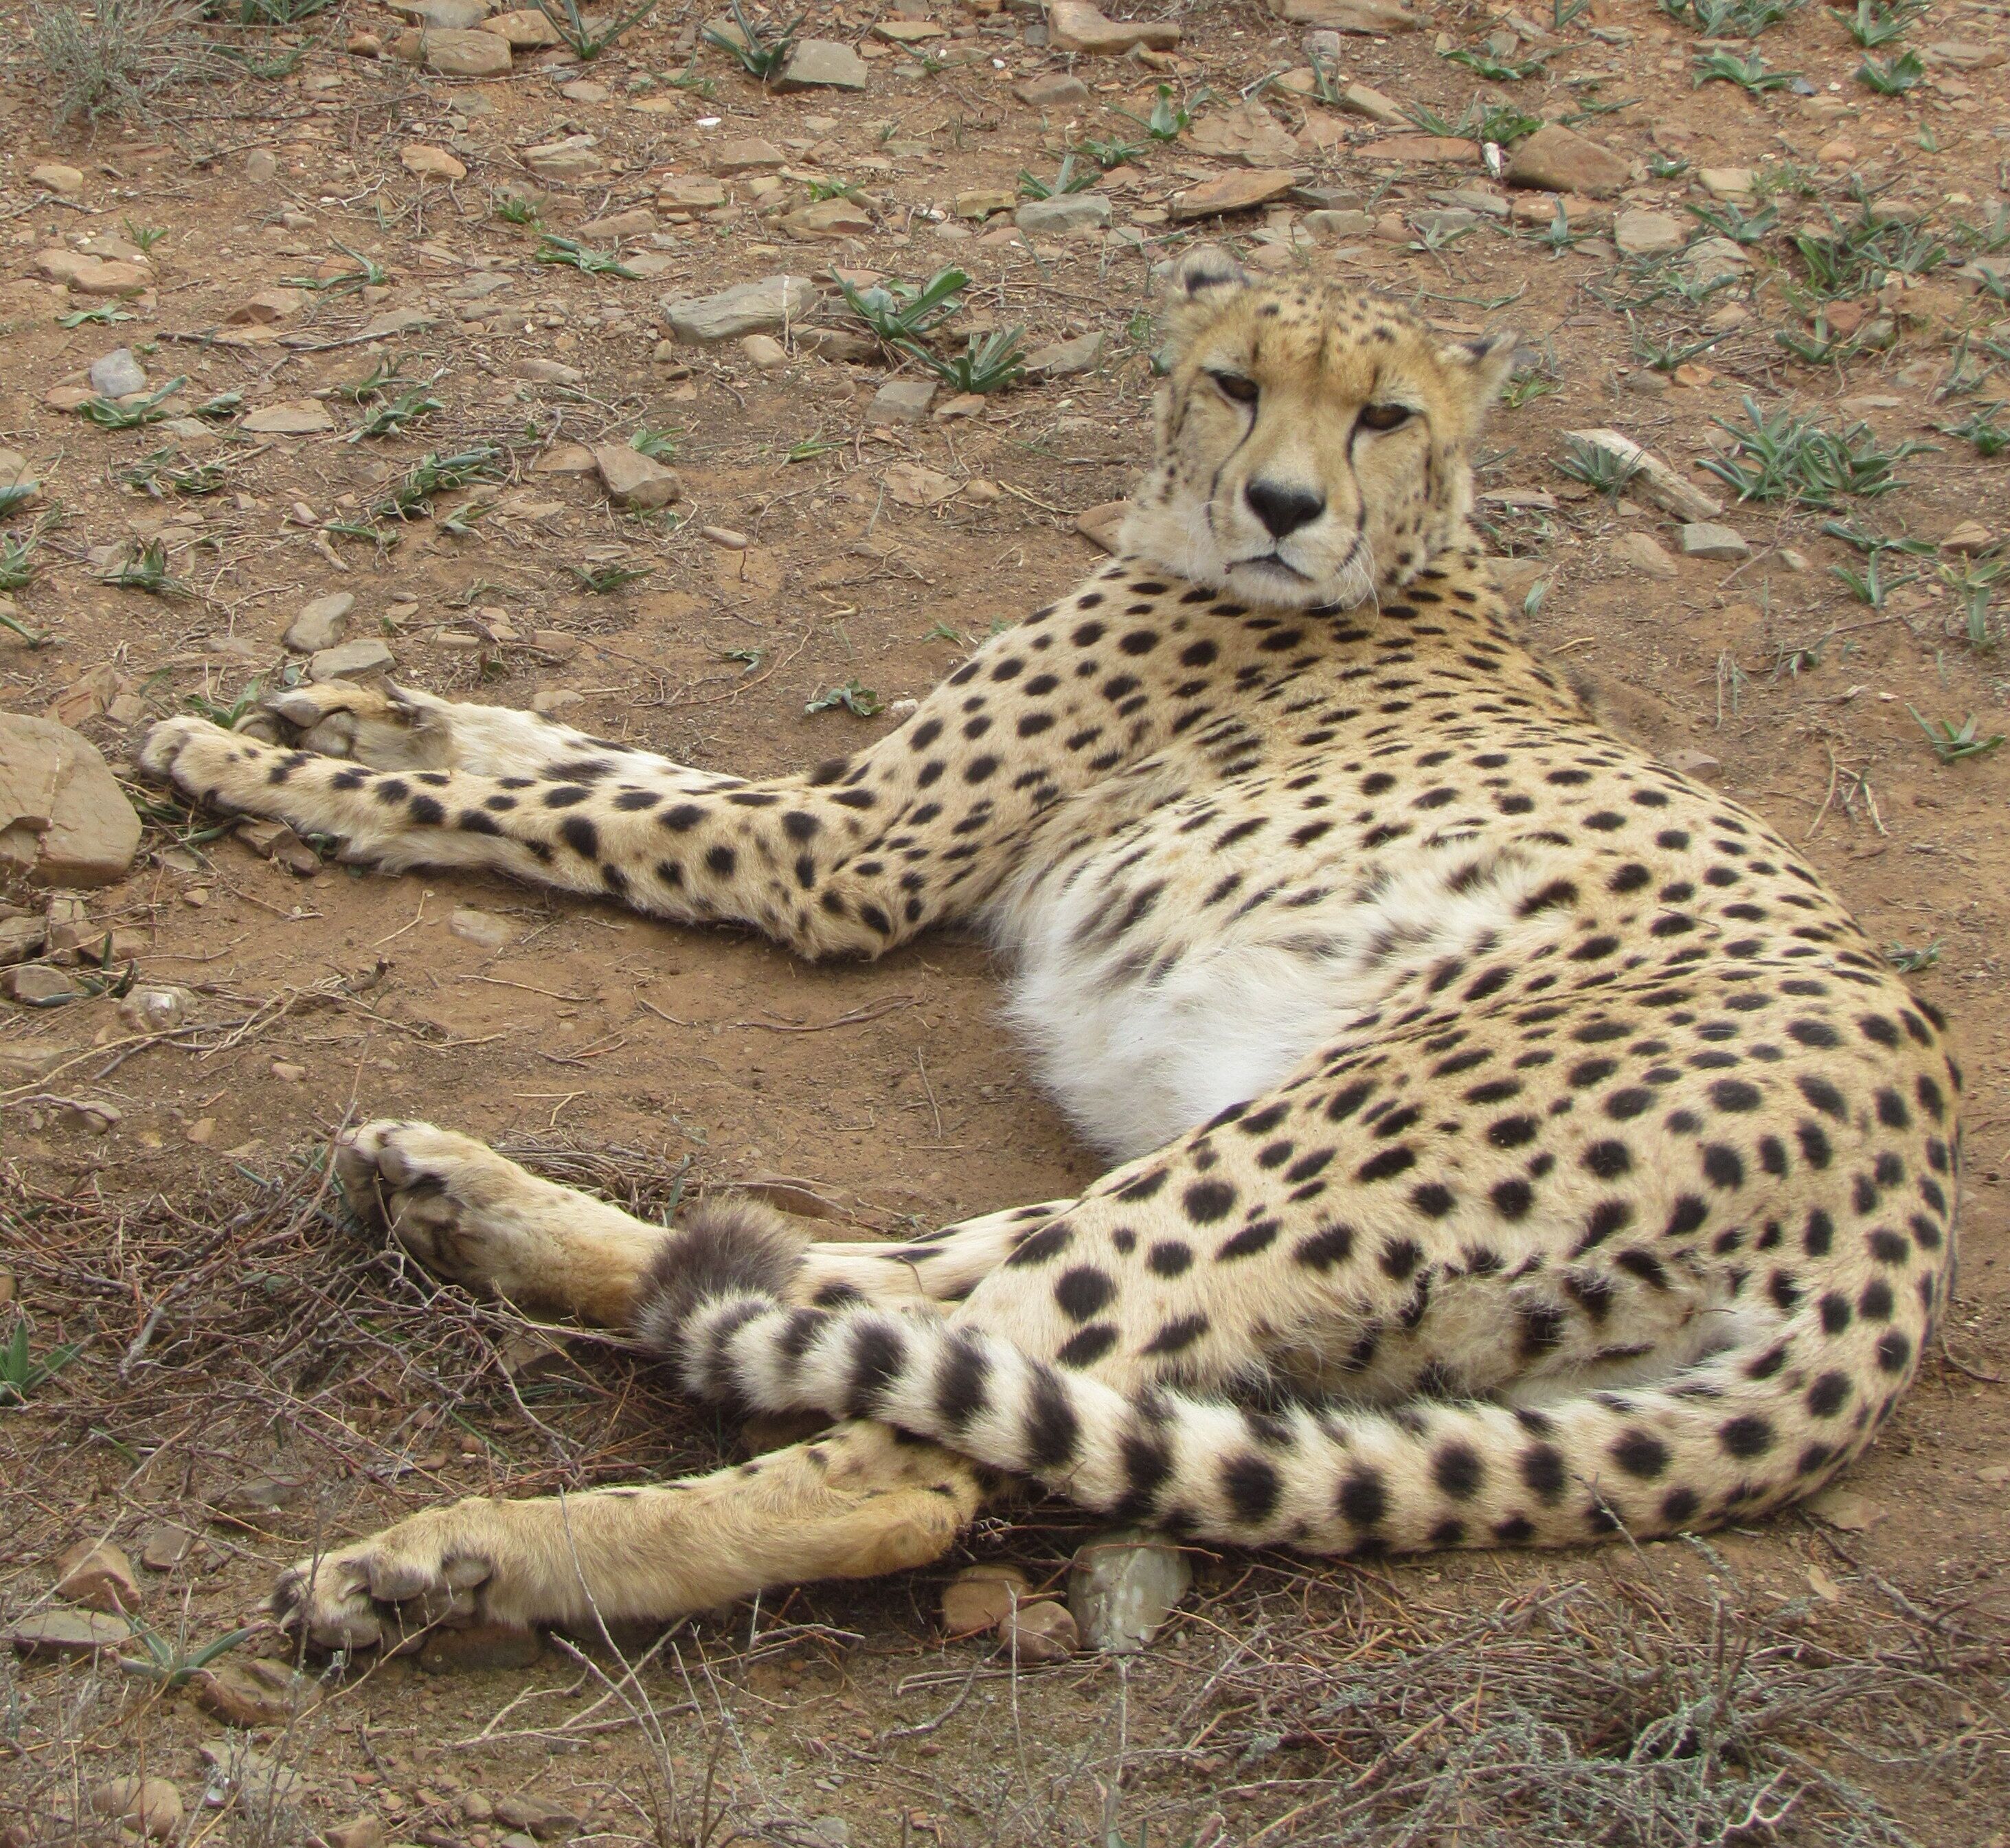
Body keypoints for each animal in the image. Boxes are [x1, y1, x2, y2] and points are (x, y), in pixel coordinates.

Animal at [138, 248, 1961, 1654]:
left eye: (1384, 415)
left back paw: (448, 1553)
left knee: (911, 1442)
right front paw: (357, 707)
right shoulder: (843, 815)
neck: (1401, 560)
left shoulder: (843, 856)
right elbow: (585, 754)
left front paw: (262, 768)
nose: (1285, 507)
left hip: (1296, 1152)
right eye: (1232, 381)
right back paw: (465, 1206)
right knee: (860, 1294)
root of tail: (1910, 1216)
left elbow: (565, 803)